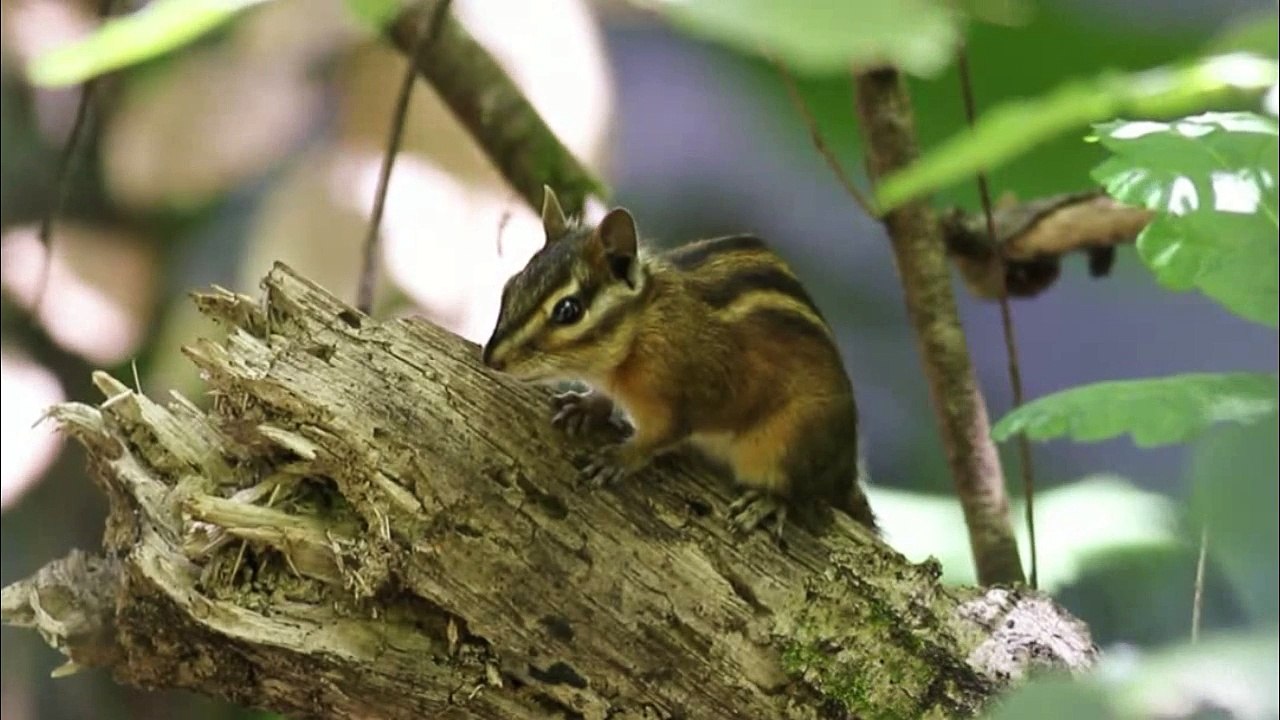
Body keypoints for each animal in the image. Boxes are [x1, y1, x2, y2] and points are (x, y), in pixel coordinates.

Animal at [482, 187, 878, 538]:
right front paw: (585, 406)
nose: (491, 359)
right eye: (510, 286)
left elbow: (659, 437)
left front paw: (621, 457)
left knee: (796, 491)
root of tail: (845, 469)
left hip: (786, 443)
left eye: (568, 310)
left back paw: (767, 502)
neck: (640, 332)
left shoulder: (686, 399)